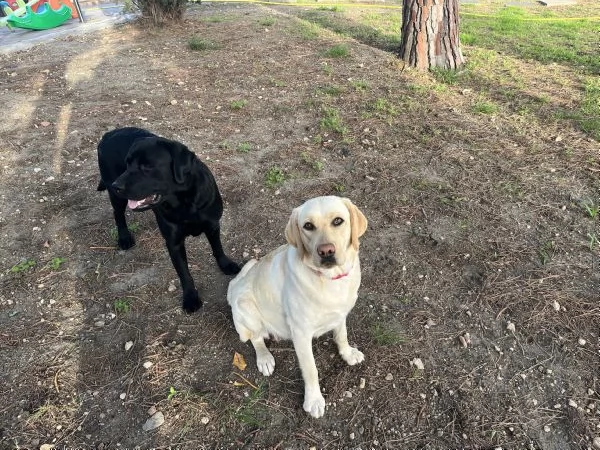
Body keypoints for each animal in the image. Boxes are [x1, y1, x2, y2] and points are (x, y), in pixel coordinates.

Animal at [97, 126, 240, 312]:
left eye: (147, 166)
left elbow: (218, 248)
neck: (184, 202)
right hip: (116, 197)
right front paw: (190, 297)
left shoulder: (213, 225)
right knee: (118, 214)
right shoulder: (174, 242)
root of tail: (108, 134)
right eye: (127, 164)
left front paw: (226, 264)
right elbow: (184, 273)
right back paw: (124, 238)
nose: (117, 185)